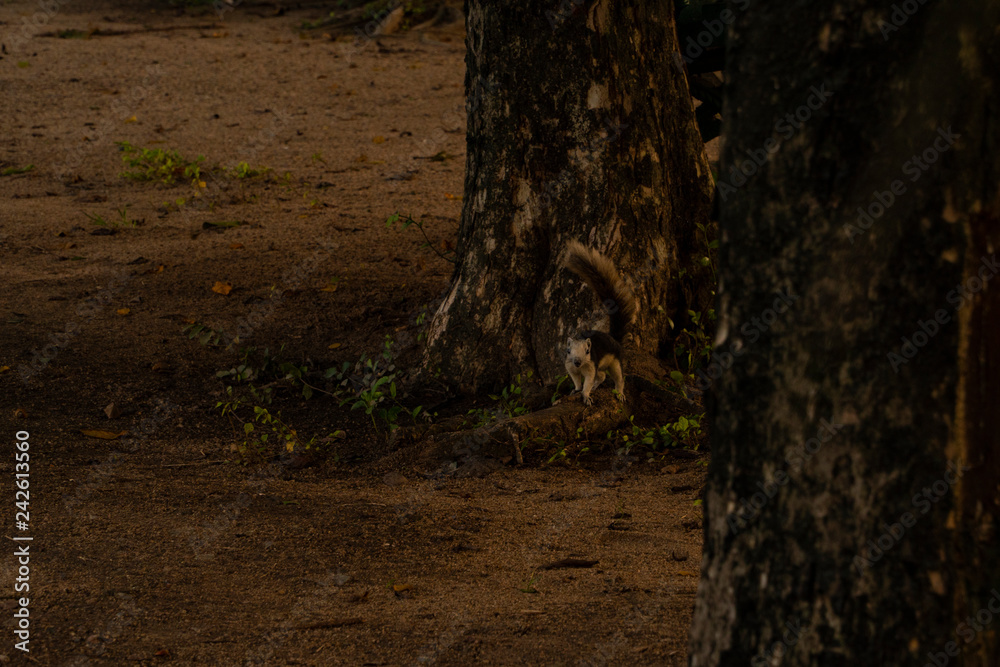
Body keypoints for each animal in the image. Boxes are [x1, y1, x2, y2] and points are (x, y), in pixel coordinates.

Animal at [562, 241, 638, 406]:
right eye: (568, 351)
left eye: (587, 351)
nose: (577, 362)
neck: (580, 367)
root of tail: (614, 339)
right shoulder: (570, 366)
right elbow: (577, 380)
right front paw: (576, 390)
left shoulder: (591, 366)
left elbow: (588, 382)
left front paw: (585, 395)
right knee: (602, 376)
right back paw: (597, 386)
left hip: (615, 362)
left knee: (619, 379)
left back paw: (619, 393)